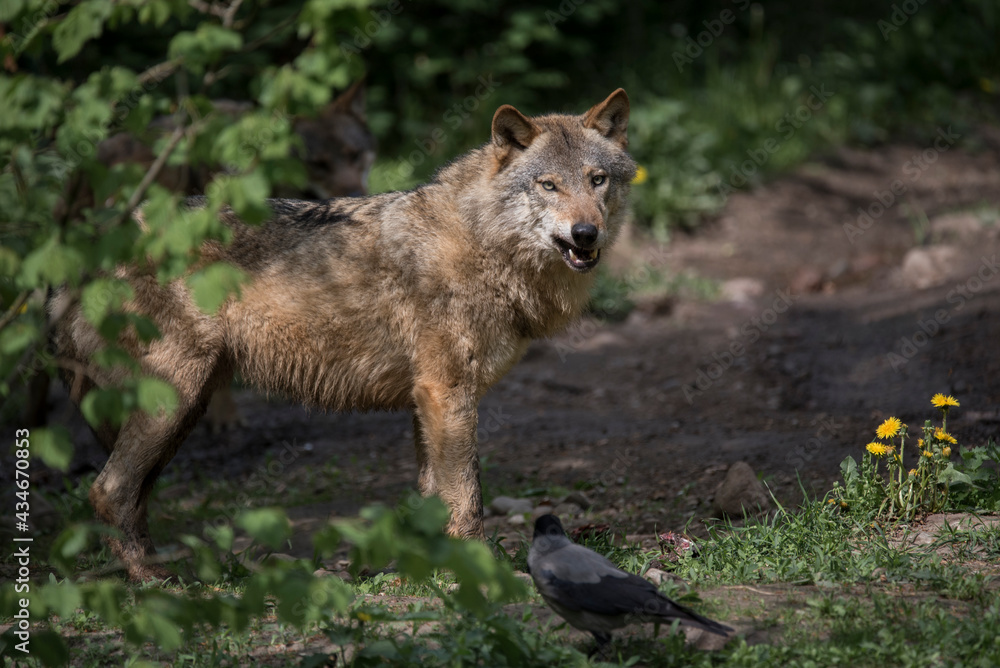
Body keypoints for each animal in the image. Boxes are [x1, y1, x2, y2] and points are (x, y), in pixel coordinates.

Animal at [54, 88, 636, 580]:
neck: (483, 243)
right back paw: (156, 584)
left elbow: (433, 499)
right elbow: (467, 496)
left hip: (184, 406)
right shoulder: (447, 394)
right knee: (109, 490)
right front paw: (476, 571)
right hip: (175, 399)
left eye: (597, 180)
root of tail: (93, 244)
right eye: (548, 185)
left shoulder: (425, 401)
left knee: (126, 493)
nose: (586, 233)